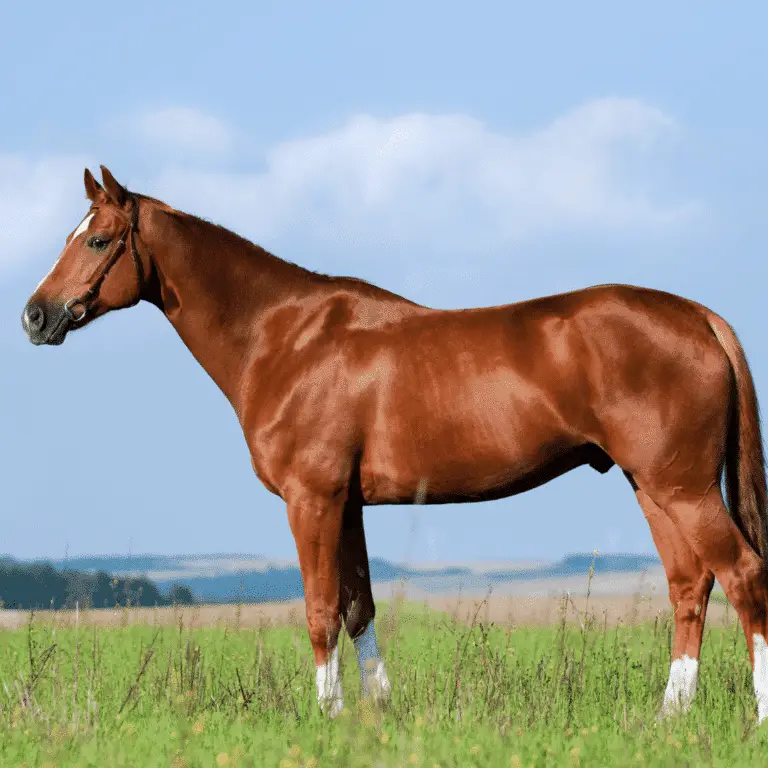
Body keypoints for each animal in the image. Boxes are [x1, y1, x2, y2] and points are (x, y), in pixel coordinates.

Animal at [21, 165, 764, 724]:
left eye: (98, 241)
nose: (34, 316)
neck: (284, 337)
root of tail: (699, 316)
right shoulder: (347, 503)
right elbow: (358, 608)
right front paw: (377, 713)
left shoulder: (312, 499)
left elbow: (321, 611)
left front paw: (329, 716)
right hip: (655, 488)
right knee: (690, 583)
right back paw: (670, 715)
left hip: (682, 488)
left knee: (743, 574)